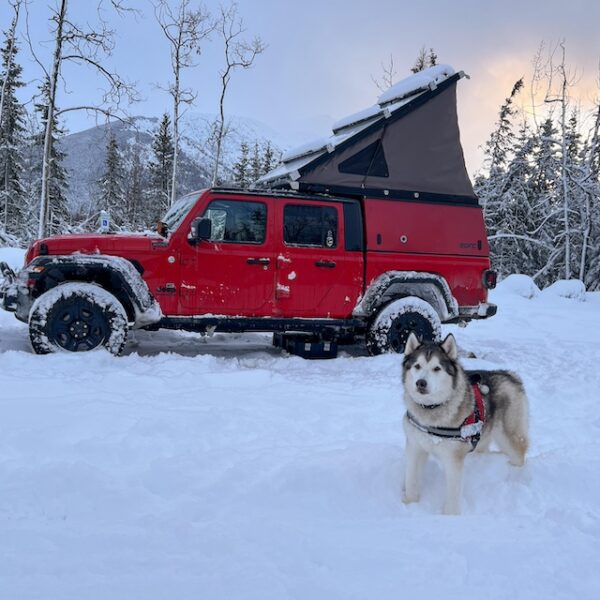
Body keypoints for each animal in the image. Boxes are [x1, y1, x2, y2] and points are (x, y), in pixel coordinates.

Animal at [400, 330, 528, 512]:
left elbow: (453, 493)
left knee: (519, 455)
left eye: (436, 368)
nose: (421, 383)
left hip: (509, 436)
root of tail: (509, 374)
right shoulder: (415, 447)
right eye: (417, 366)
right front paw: (409, 503)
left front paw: (449, 515)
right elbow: (411, 480)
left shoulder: (453, 459)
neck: (431, 410)